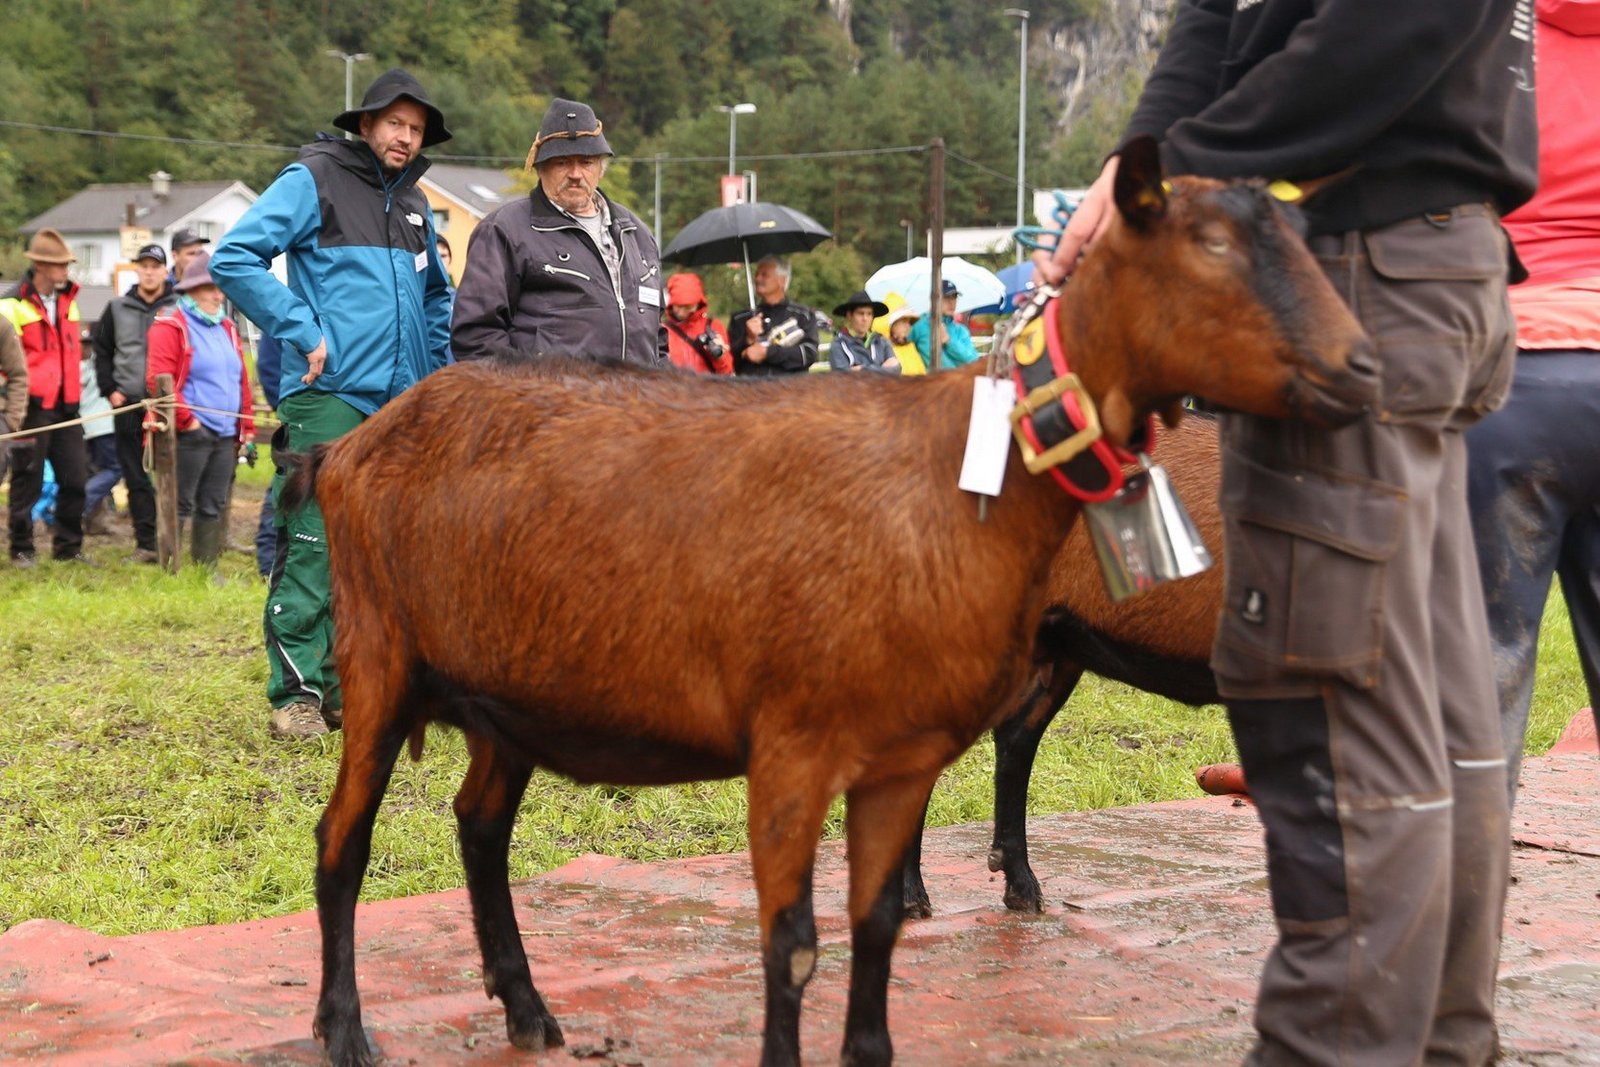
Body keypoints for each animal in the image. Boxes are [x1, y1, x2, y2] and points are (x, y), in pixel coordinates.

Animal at [294, 137, 1377, 1067]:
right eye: (1211, 246)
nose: (1359, 368)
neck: (958, 471)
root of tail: (349, 446)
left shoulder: (896, 756)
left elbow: (873, 928)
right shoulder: (791, 745)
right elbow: (793, 943)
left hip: (505, 696)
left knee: (479, 827)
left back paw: (526, 1007)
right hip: (379, 655)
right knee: (342, 841)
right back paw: (345, 1028)